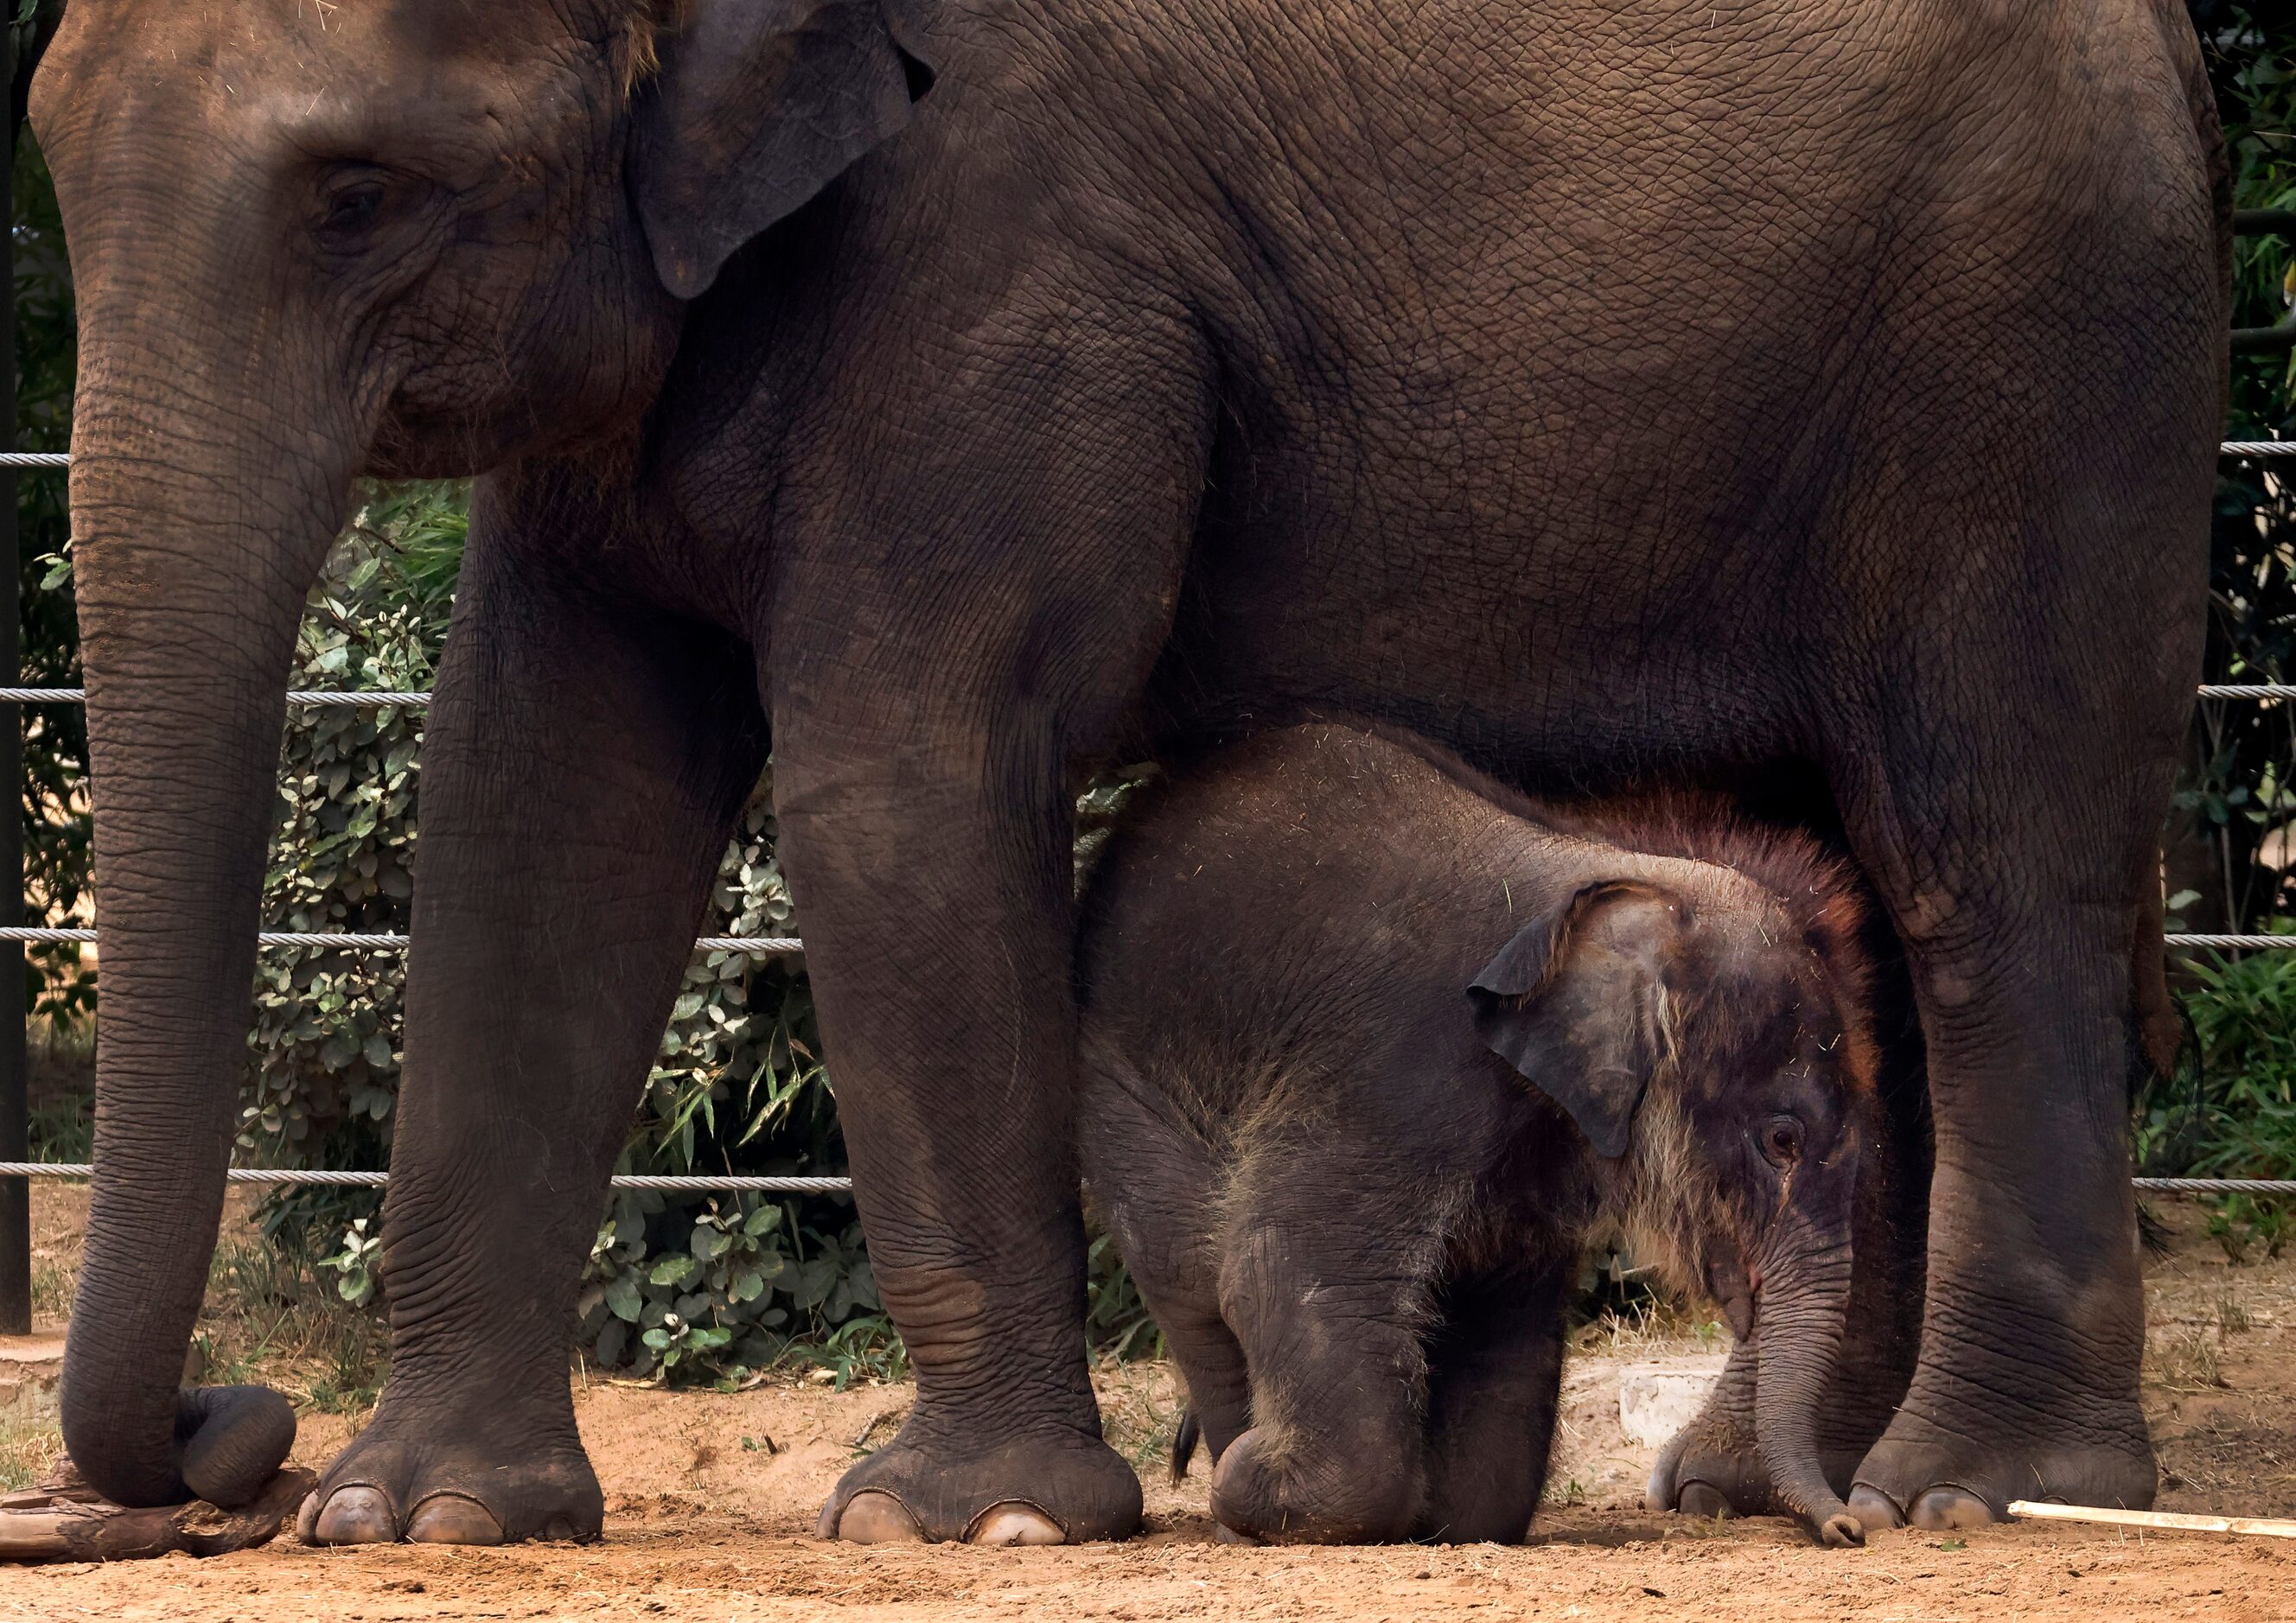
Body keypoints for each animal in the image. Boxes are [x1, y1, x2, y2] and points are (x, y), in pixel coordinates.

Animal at [1079, 725, 1882, 1551]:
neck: (1618, 877)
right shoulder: (1396, 1065)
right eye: (1782, 1140)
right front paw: (1251, 1475)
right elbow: (1278, 1264)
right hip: (1122, 1081)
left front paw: (1438, 1519)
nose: (1848, 1529)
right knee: (1189, 1274)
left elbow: (1502, 1318)